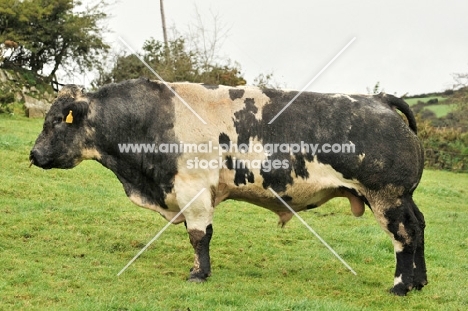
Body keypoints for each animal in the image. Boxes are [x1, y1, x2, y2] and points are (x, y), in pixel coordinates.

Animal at [30, 77, 428, 294]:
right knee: (420, 228)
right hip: (403, 197)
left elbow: (198, 236)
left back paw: (400, 286)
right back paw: (419, 282)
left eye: (58, 120)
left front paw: (198, 274)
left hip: (388, 197)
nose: (33, 154)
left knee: (404, 236)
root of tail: (378, 99)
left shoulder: (193, 191)